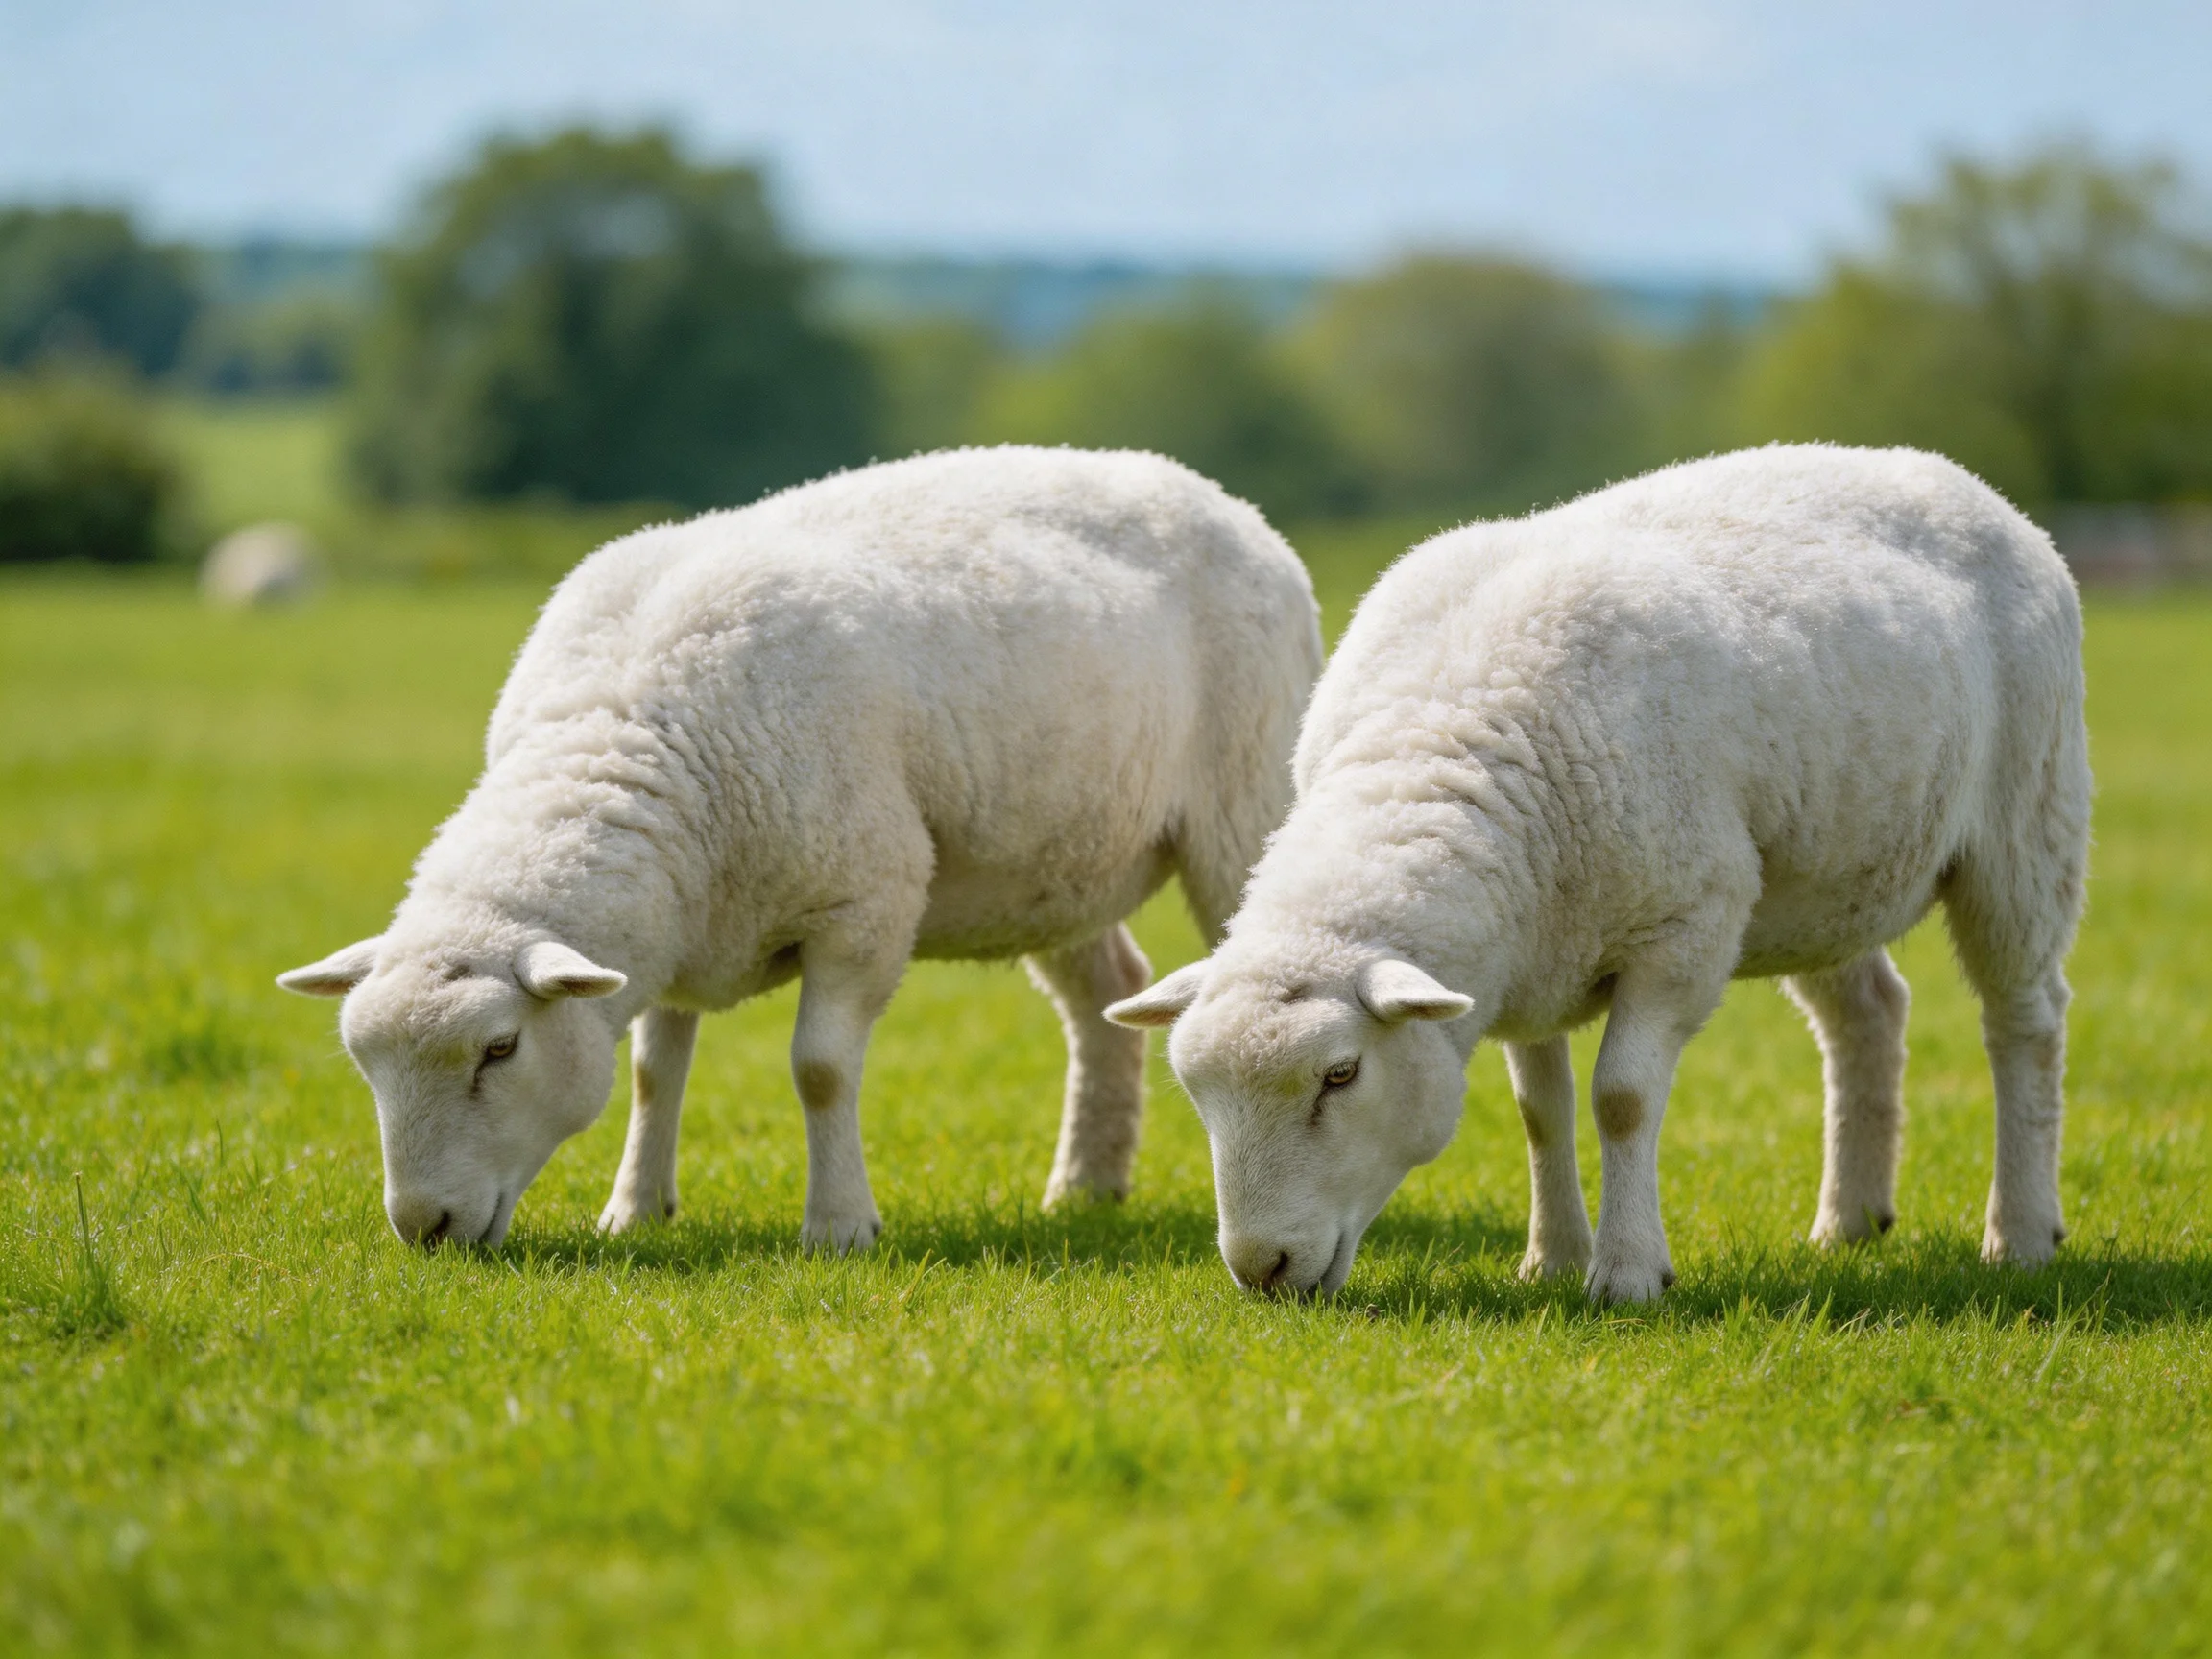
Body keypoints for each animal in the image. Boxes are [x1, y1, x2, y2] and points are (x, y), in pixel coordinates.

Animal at [278, 446, 1323, 1249]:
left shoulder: (863, 902)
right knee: (1107, 992)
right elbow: (656, 1073)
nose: (422, 1227)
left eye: (498, 1049)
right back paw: (1084, 1187)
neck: (626, 729)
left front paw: (840, 1227)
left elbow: (819, 1069)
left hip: (1244, 805)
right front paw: (635, 1208)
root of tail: (1212, 491)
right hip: (1056, 859)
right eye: (364, 1064)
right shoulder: (682, 920)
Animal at [1108, 445, 2090, 1305]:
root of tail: (1958, 479)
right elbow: (1538, 1109)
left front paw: (1626, 1274)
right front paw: (1550, 1260)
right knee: (1869, 1015)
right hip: (1819, 878)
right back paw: (1848, 1222)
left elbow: (1620, 1099)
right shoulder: (1521, 955)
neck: (1441, 743)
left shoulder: (1684, 927)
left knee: (2024, 1021)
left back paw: (2021, 1235)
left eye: (1340, 1076)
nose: (1260, 1268)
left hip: (2025, 822)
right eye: (1196, 1093)